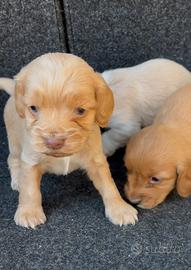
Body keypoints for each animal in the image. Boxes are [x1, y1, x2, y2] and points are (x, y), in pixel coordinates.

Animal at [0, 52, 137, 228]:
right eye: (33, 108)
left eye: (80, 110)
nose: (54, 142)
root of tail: (13, 90)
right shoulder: (30, 160)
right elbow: (30, 190)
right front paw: (29, 212)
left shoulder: (96, 160)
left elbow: (108, 184)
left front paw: (119, 209)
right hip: (15, 142)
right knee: (13, 160)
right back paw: (18, 180)